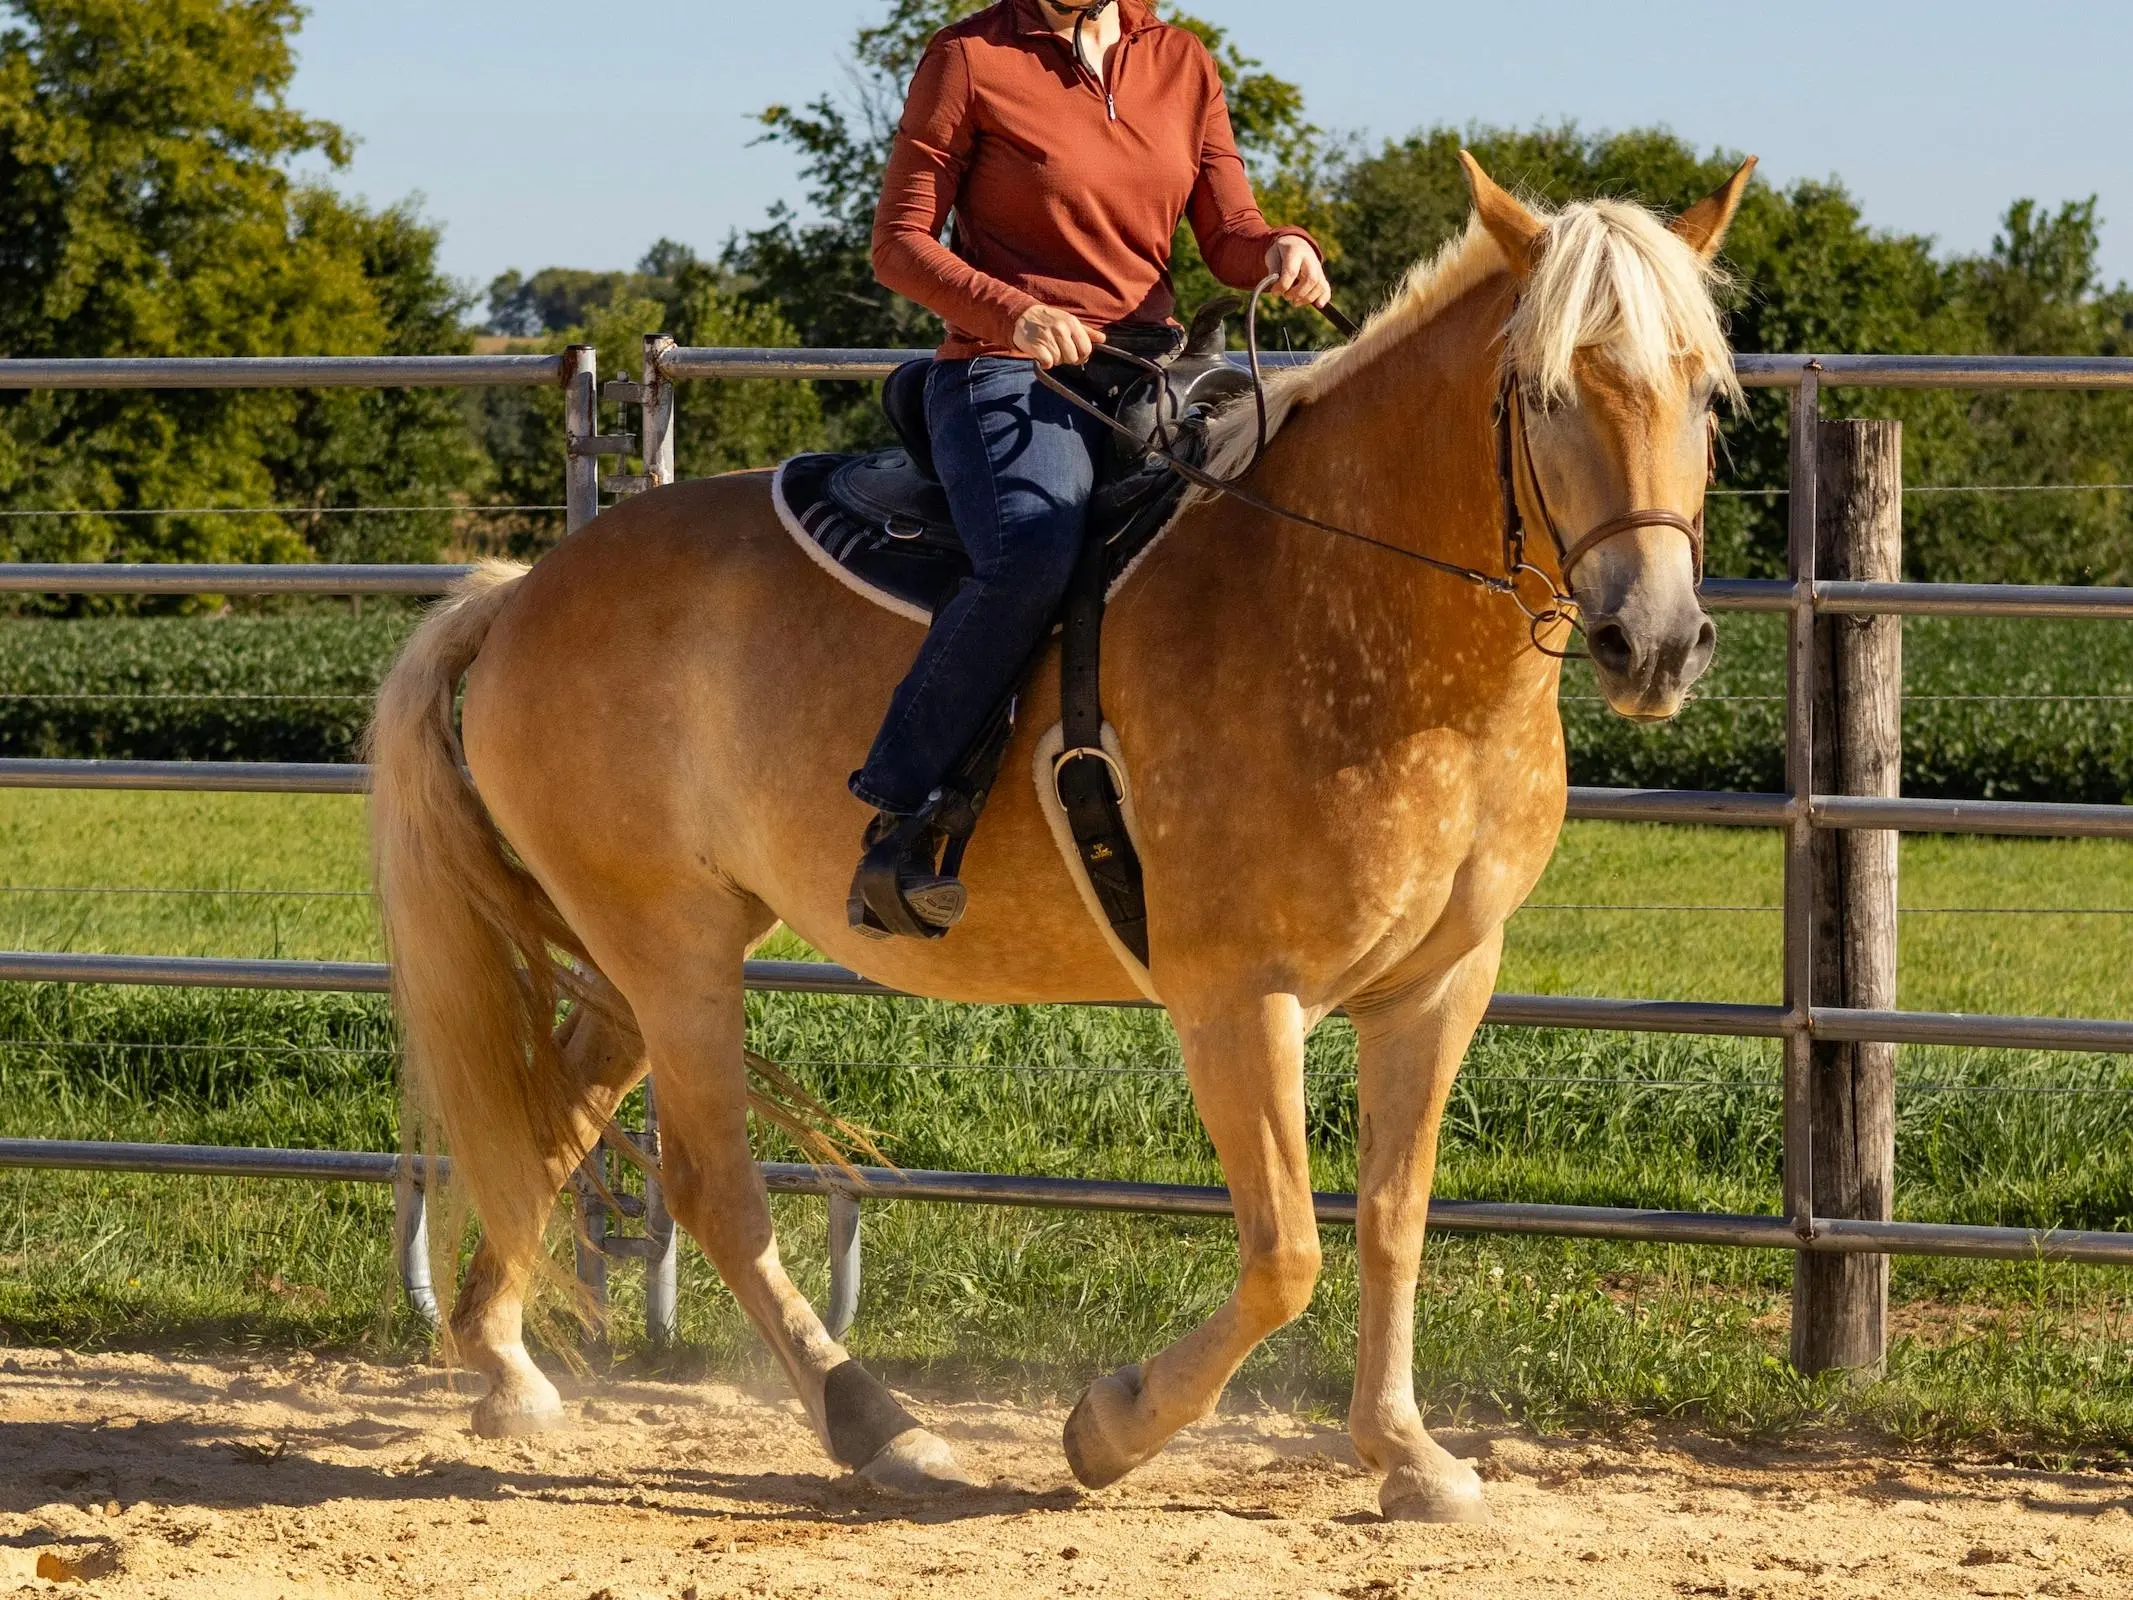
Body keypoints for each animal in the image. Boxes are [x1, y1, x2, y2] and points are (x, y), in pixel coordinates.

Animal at [375, 153, 1757, 1527]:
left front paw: (1408, 1454)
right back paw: (881, 1427)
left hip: (647, 948)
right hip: (671, 947)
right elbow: (1287, 1253)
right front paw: (1112, 1425)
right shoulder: (1236, 997)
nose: (1656, 642)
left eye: (1707, 393)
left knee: (552, 1116)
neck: (1349, 614)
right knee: (714, 1187)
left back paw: (505, 1366)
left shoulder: (1440, 985)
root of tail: (523, 591)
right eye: (1548, 392)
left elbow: (1392, 1220)